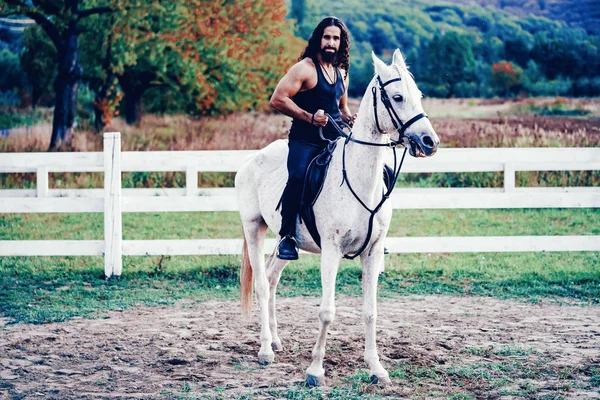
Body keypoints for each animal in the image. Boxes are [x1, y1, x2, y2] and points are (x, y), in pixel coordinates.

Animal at [236, 49, 440, 384]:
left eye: (419, 95)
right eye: (397, 97)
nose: (429, 142)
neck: (359, 180)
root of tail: (252, 160)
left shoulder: (372, 253)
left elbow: (370, 311)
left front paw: (376, 368)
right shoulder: (331, 252)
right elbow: (327, 312)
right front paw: (315, 371)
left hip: (284, 239)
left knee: (272, 276)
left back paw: (276, 341)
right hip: (254, 227)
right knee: (263, 285)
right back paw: (265, 349)